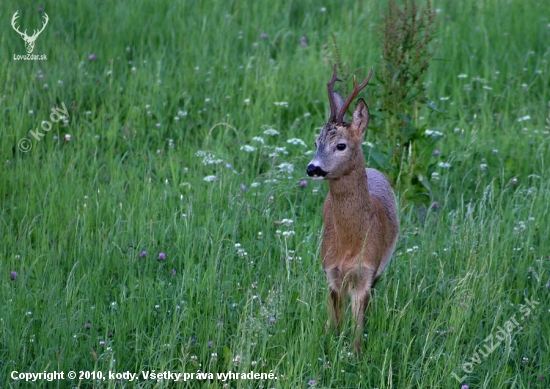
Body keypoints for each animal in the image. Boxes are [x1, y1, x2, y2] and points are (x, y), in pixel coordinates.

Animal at [306, 64, 402, 354]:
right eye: (316, 142)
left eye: (341, 145)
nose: (312, 168)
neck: (350, 243)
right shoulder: (330, 270)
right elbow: (334, 322)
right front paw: (330, 346)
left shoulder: (367, 271)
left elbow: (357, 328)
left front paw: (356, 354)